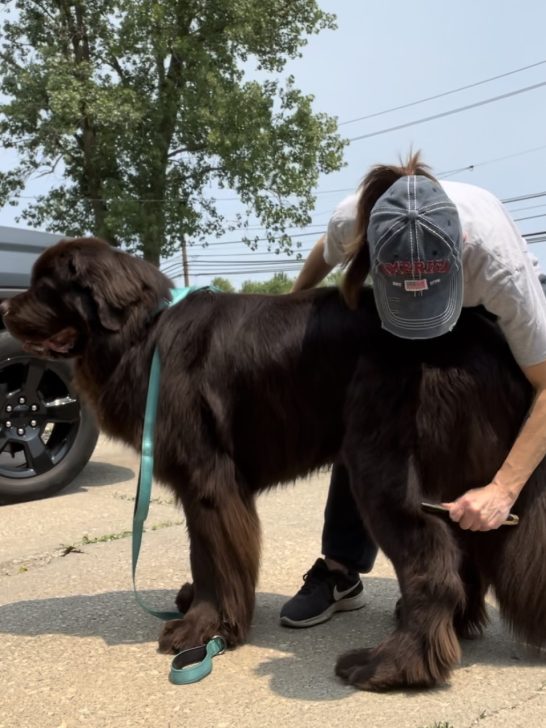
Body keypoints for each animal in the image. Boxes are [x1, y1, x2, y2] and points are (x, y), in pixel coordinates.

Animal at [2, 236, 540, 692]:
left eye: (44, 287)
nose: (3, 306)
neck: (144, 334)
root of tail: (484, 330)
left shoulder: (208, 479)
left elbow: (212, 555)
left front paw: (201, 629)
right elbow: (205, 553)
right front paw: (198, 609)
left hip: (379, 462)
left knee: (433, 560)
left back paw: (391, 665)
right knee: (463, 550)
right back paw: (454, 628)